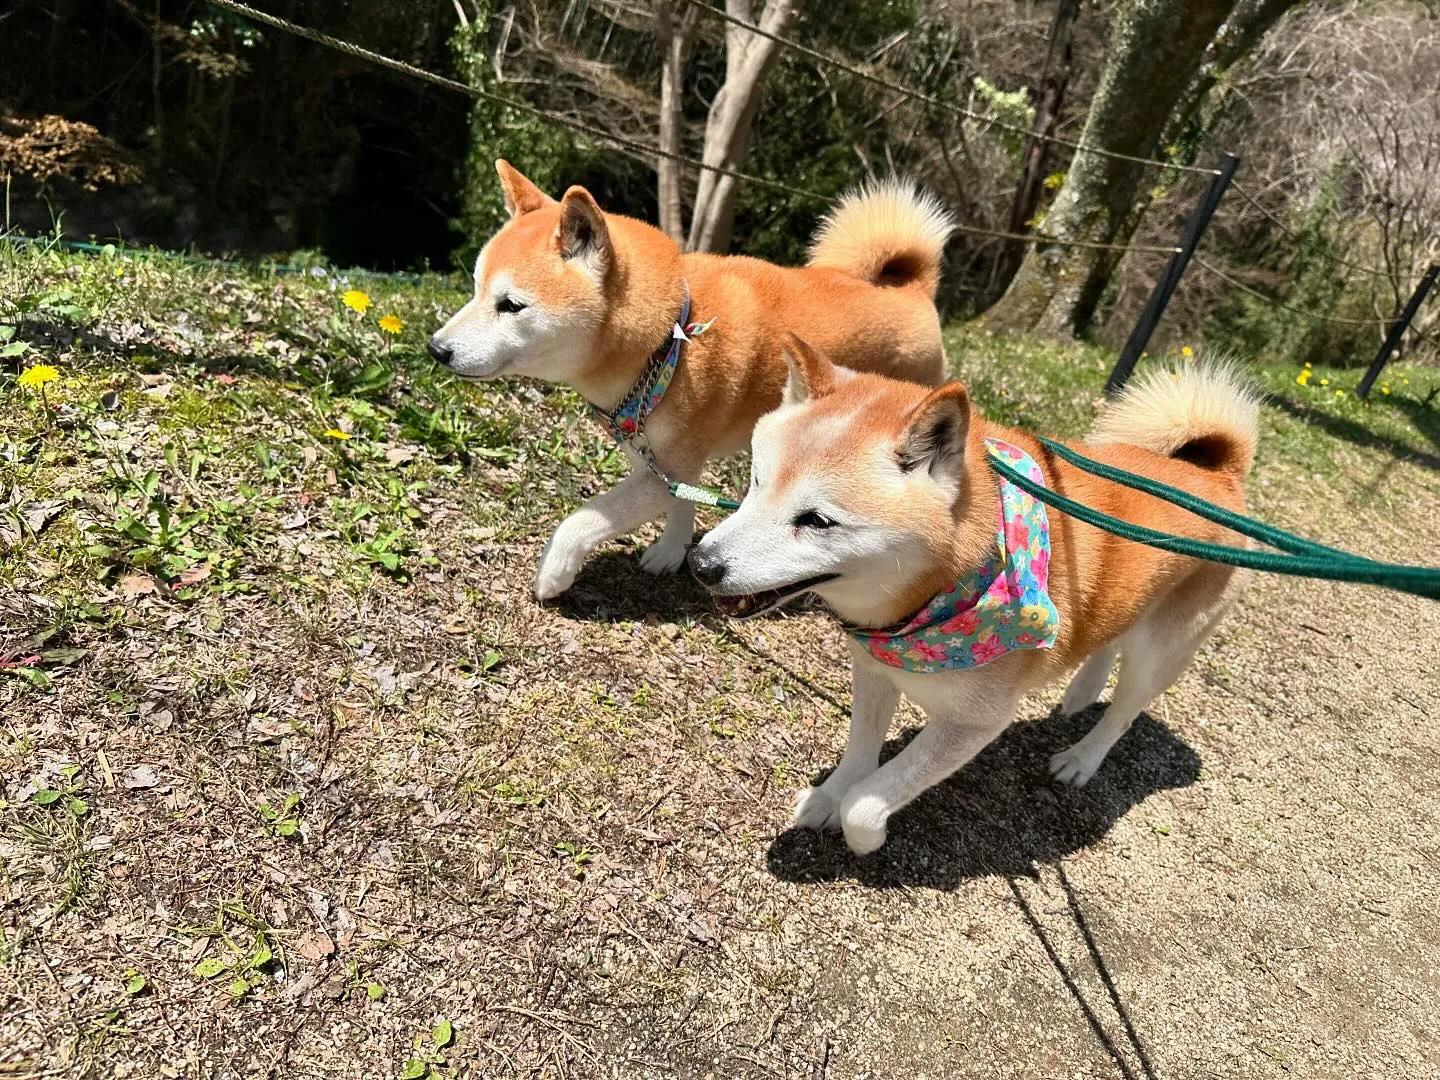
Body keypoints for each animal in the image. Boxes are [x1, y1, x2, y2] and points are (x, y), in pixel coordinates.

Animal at [426, 162, 956, 601]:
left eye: (511, 305)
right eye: (475, 289)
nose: (436, 348)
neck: (668, 344)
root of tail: (914, 289)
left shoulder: (670, 465)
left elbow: (585, 518)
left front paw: (554, 572)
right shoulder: (658, 457)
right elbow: (682, 504)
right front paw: (672, 552)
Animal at [688, 338, 1261, 852]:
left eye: (817, 520)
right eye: (756, 482)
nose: (701, 564)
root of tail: (1222, 478)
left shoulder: (974, 722)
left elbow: (867, 801)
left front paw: (864, 837)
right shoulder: (873, 671)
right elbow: (857, 755)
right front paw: (827, 797)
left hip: (1161, 651)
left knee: (1124, 711)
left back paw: (1081, 758)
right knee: (1106, 641)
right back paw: (1079, 694)